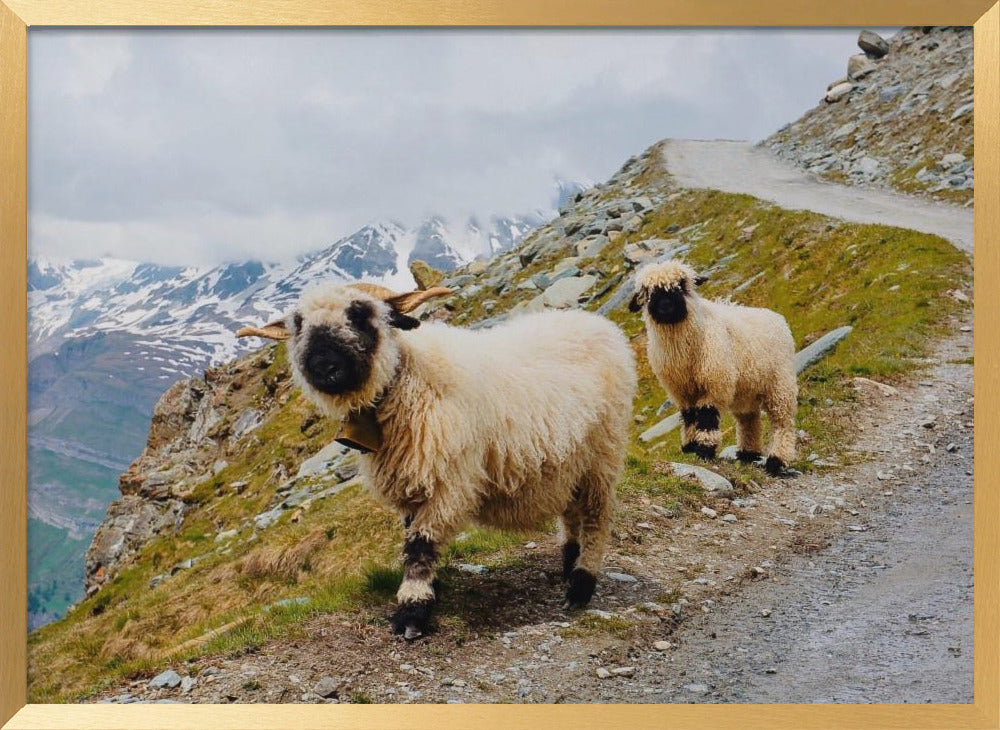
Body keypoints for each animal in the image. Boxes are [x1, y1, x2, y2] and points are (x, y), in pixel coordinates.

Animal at [239, 282, 637, 639]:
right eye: (298, 325)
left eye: (360, 313)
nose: (323, 367)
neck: (406, 379)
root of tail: (598, 324)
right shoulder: (413, 486)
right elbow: (412, 539)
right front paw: (429, 592)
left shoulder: (448, 482)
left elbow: (420, 546)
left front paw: (412, 612)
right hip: (568, 461)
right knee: (572, 513)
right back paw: (569, 562)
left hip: (603, 452)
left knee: (596, 518)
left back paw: (581, 585)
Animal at [628, 260, 797, 476]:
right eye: (648, 291)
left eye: (681, 285)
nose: (666, 305)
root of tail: (778, 319)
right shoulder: (681, 391)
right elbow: (689, 416)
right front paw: (690, 446)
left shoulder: (715, 383)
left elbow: (706, 417)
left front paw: (704, 449)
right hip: (746, 391)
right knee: (749, 420)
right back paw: (748, 454)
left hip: (780, 385)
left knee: (782, 423)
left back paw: (776, 461)